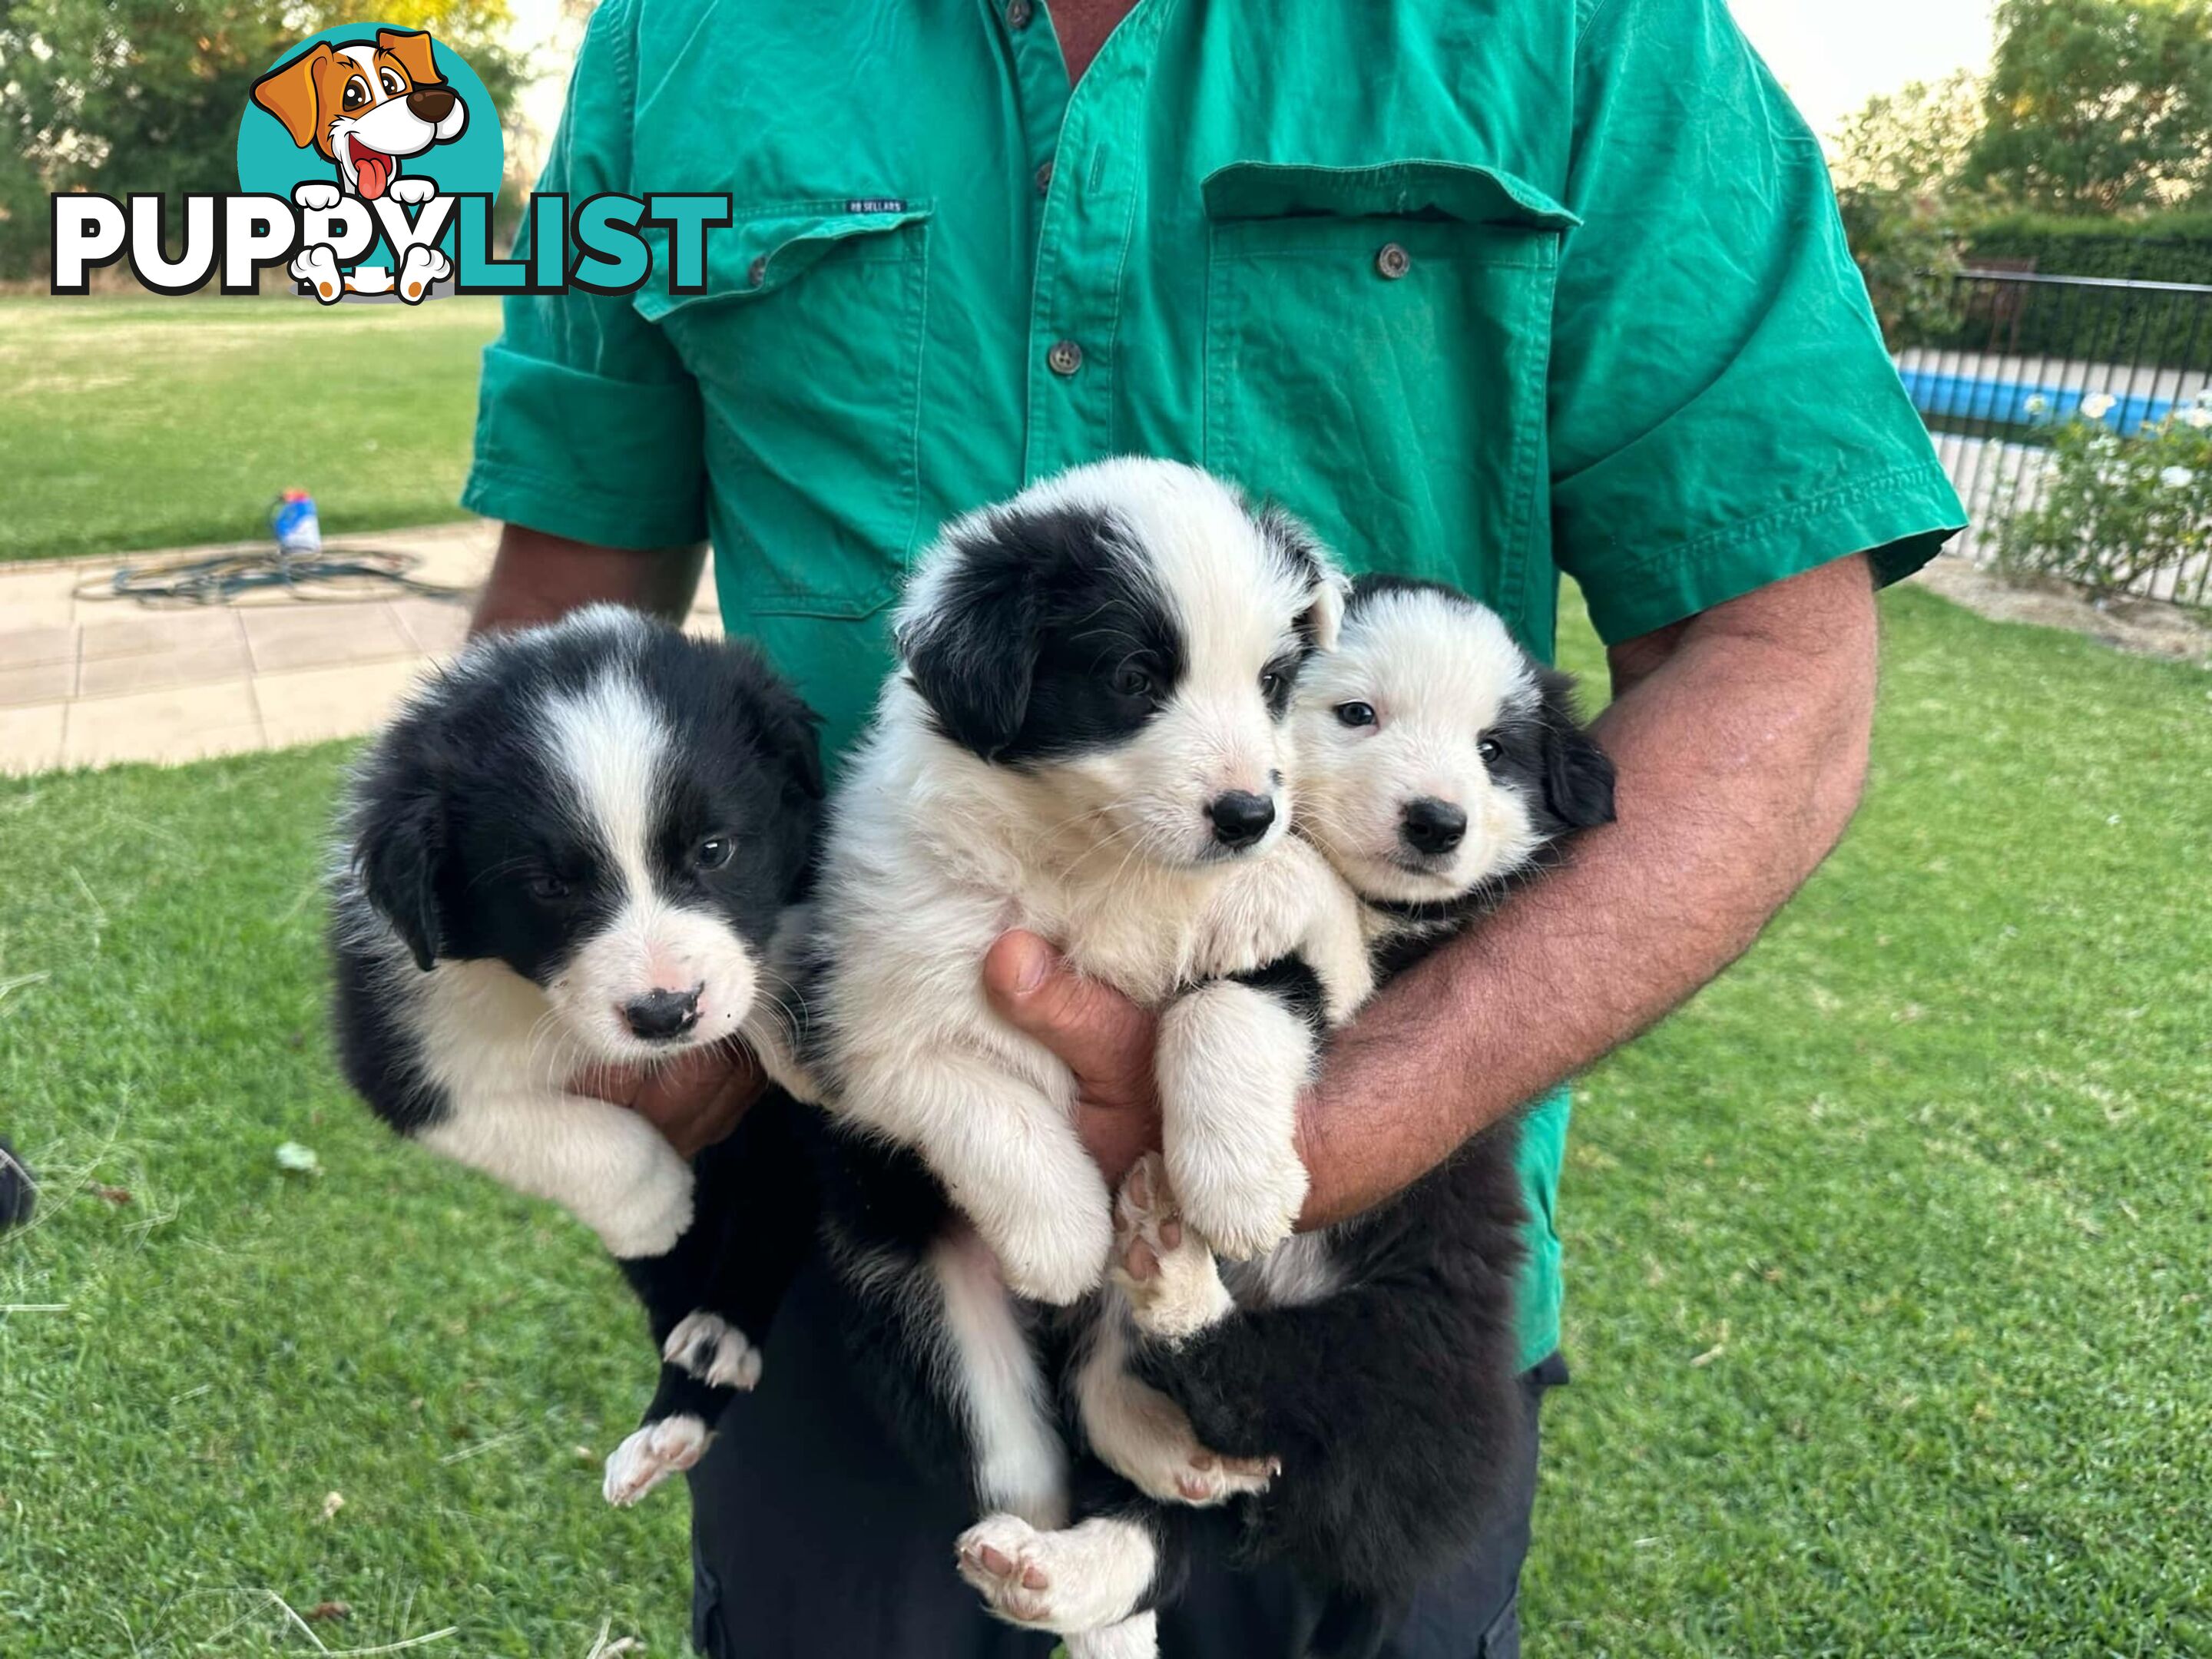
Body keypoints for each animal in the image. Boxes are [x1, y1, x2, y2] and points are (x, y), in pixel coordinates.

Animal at [323, 606, 818, 1504]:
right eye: (550, 886)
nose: (666, 1013)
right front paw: (655, 1197)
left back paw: (713, 1344)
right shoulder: (405, 1053)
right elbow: (568, 1138)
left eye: (716, 850)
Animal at [959, 579, 1619, 1659]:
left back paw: (1173, 1287)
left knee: (1262, 1394)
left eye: (1494, 750)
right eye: (1357, 715)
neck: (1381, 912)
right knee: (1181, 1515)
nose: (1438, 822)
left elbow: (1227, 1002)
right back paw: (1051, 1563)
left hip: (1410, 1341)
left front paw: (1236, 1180)